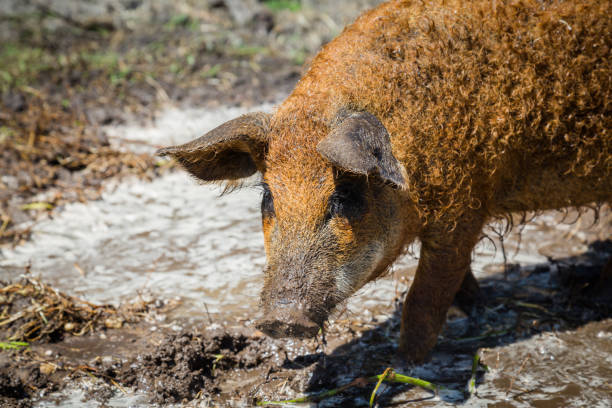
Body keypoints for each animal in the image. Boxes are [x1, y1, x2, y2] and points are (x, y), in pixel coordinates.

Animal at [159, 0, 612, 364]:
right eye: (268, 197)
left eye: (343, 195)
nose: (281, 319)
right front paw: (477, 306)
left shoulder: (463, 211)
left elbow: (424, 301)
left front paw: (402, 365)